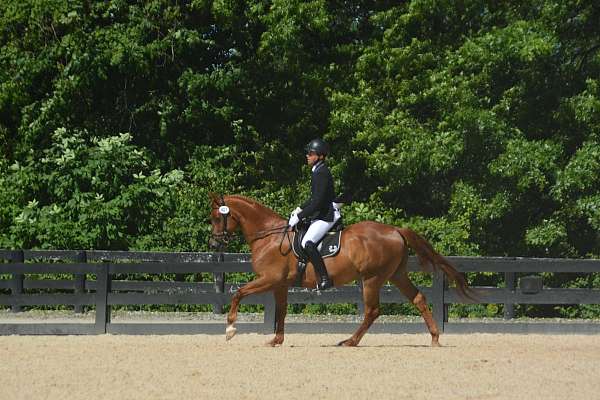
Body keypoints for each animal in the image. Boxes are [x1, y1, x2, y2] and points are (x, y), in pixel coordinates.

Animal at [209, 194, 472, 346]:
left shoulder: (269, 279)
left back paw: (350, 341)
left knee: (372, 311)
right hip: (397, 275)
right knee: (418, 298)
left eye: (216, 218)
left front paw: (230, 329)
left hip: (372, 278)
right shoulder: (279, 284)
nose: (213, 244)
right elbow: (281, 311)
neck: (271, 237)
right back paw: (435, 338)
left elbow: (238, 293)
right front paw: (276, 340)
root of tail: (395, 230)